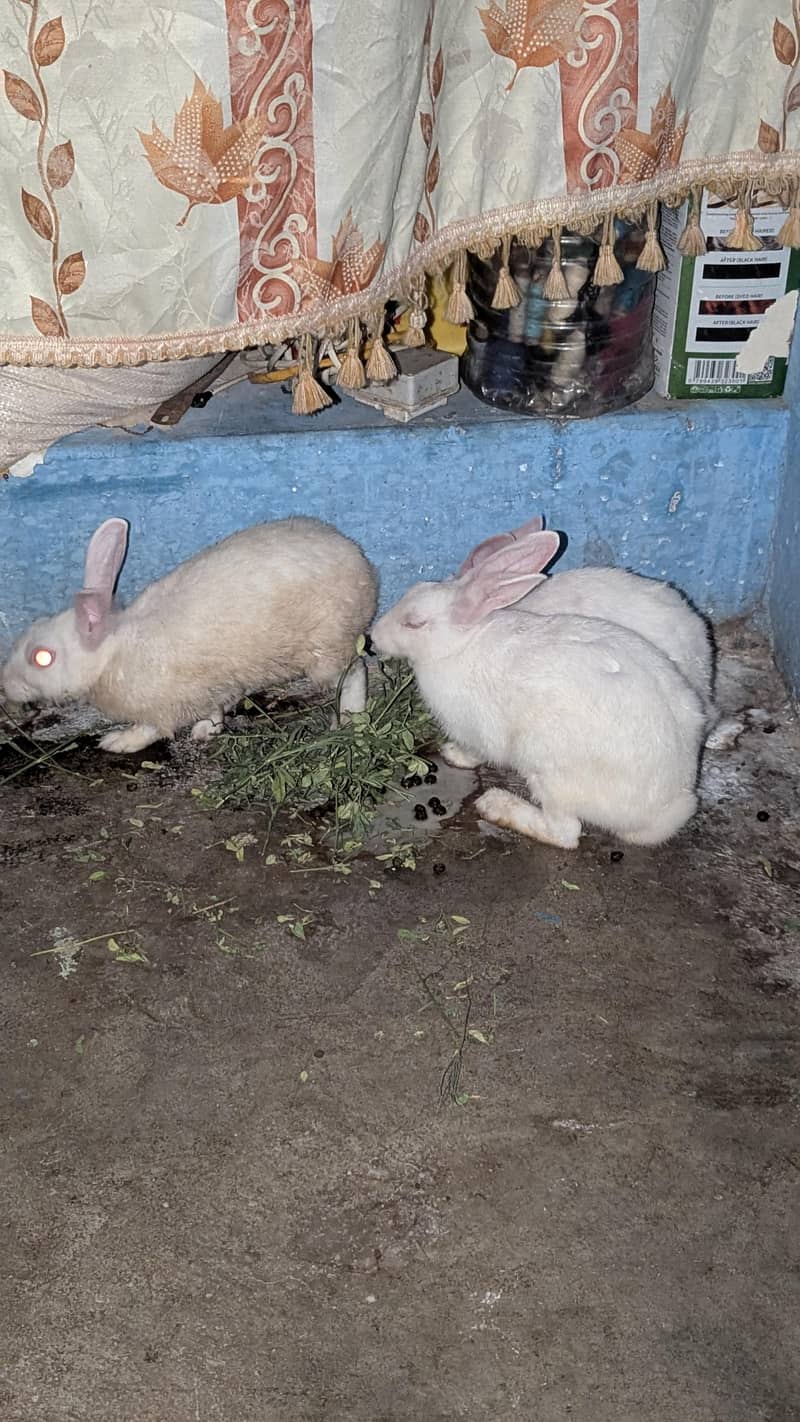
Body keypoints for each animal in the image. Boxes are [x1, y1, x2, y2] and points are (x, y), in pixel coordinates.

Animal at [1, 516, 377, 753]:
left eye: (42, 657)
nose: (5, 685)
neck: (112, 653)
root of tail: (363, 566)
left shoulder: (164, 706)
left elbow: (151, 729)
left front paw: (117, 742)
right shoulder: (211, 688)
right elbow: (214, 710)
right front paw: (206, 731)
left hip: (325, 650)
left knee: (355, 674)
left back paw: (351, 721)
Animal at [371, 529, 706, 849]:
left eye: (414, 623)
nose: (373, 637)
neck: (459, 644)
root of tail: (665, 809)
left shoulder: (476, 731)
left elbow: (475, 751)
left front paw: (453, 755)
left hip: (550, 774)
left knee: (565, 834)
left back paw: (496, 805)